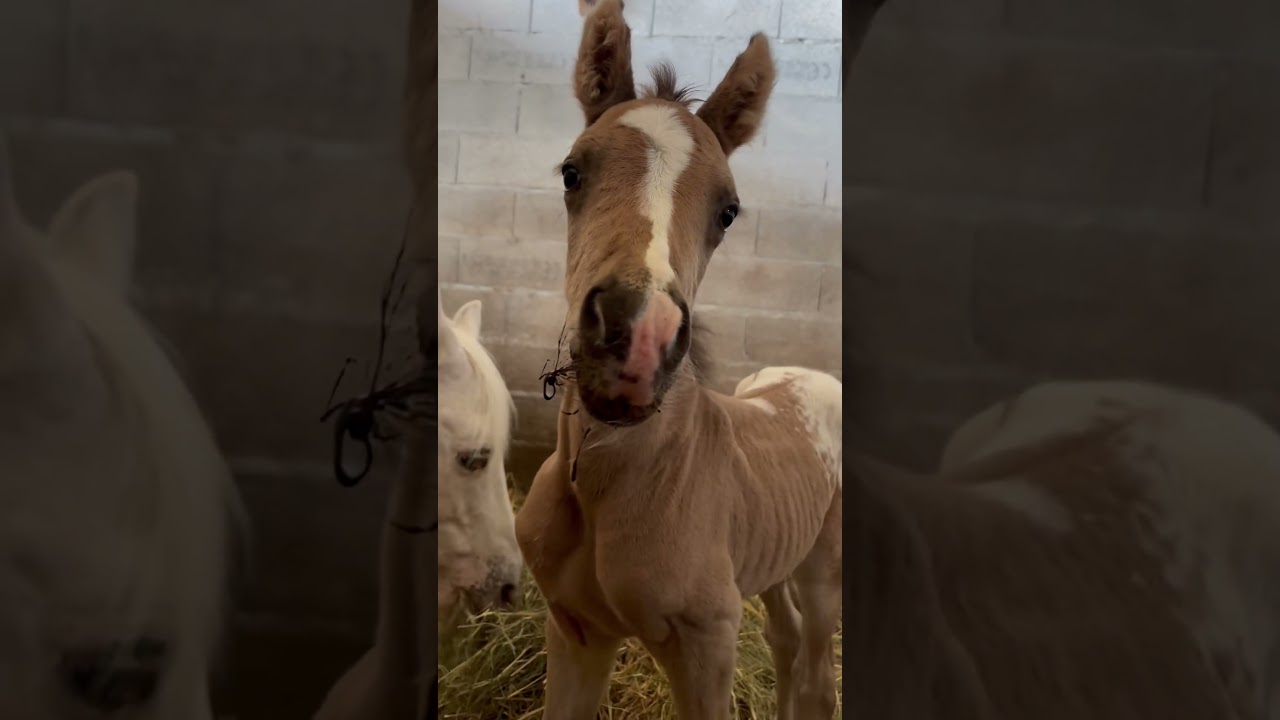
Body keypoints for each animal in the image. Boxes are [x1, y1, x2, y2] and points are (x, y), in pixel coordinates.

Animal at [513, 2, 843, 718]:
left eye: (729, 210)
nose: (639, 338)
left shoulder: (705, 646)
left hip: (824, 568)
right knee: (784, 637)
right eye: (571, 172)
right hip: (771, 561)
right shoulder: (574, 629)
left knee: (816, 671)